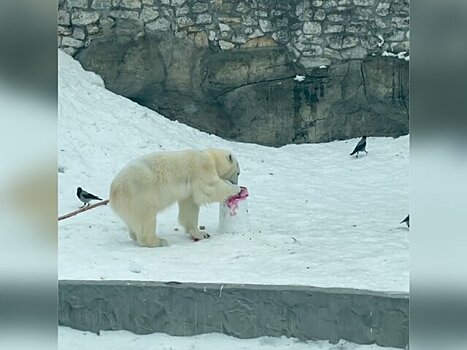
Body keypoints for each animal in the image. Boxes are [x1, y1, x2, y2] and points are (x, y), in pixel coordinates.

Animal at [109, 149, 241, 247]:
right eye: (238, 173)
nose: (236, 182)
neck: (211, 156)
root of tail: (114, 192)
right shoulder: (201, 168)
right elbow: (207, 190)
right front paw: (236, 189)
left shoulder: (189, 190)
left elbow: (189, 207)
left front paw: (200, 233)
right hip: (139, 194)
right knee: (145, 218)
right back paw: (158, 241)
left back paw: (135, 235)